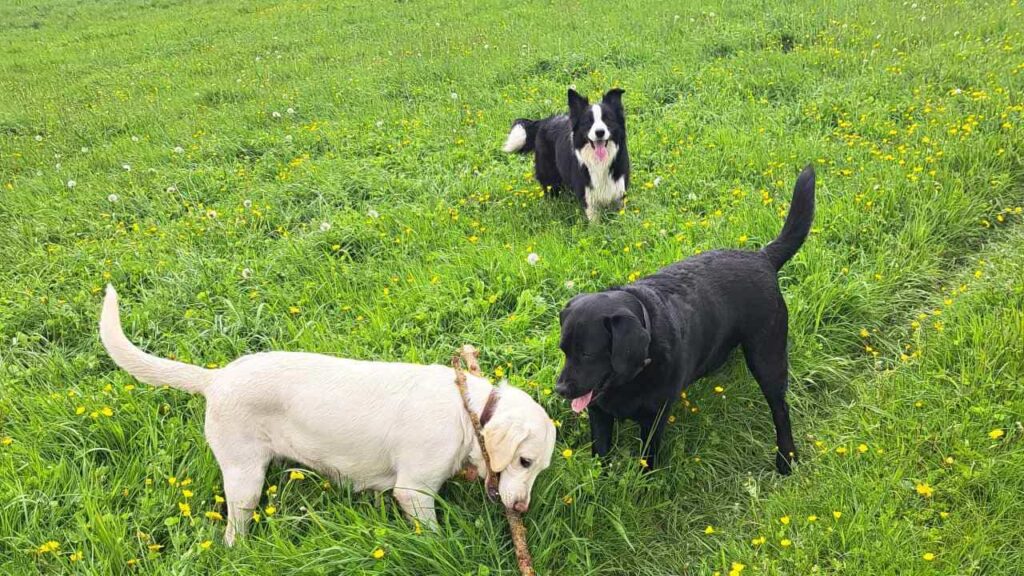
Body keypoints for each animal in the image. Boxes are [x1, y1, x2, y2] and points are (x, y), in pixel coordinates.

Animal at [99, 284, 557, 545]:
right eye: (524, 461)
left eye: (539, 469)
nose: (522, 510)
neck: (467, 412)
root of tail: (217, 378)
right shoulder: (414, 491)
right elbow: (433, 534)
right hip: (245, 480)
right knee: (233, 531)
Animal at [499, 88, 626, 220]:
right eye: (588, 121)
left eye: (608, 119)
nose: (600, 132)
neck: (599, 163)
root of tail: (545, 121)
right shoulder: (588, 195)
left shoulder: (619, 190)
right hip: (549, 177)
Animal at [552, 165, 815, 471]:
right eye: (564, 351)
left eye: (588, 353)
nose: (559, 389)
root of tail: (763, 257)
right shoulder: (599, 413)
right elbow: (602, 457)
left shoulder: (653, 419)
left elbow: (647, 461)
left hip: (768, 358)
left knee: (780, 409)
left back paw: (786, 457)